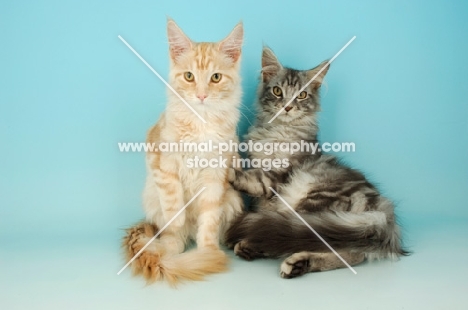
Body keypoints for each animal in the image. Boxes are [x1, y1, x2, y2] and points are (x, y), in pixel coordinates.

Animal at [122, 18, 243, 286]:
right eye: (189, 76)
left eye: (216, 78)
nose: (201, 95)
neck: (201, 121)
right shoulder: (161, 159)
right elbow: (173, 200)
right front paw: (177, 220)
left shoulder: (217, 173)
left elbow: (208, 221)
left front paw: (208, 253)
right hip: (152, 198)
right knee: (172, 236)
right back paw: (168, 249)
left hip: (233, 200)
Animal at [225, 46, 408, 278]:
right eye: (277, 91)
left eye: (302, 95)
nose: (288, 107)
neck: (278, 132)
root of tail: (383, 209)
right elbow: (260, 205)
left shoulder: (280, 175)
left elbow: (252, 179)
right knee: (350, 251)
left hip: (314, 200)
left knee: (324, 243)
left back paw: (283, 256)